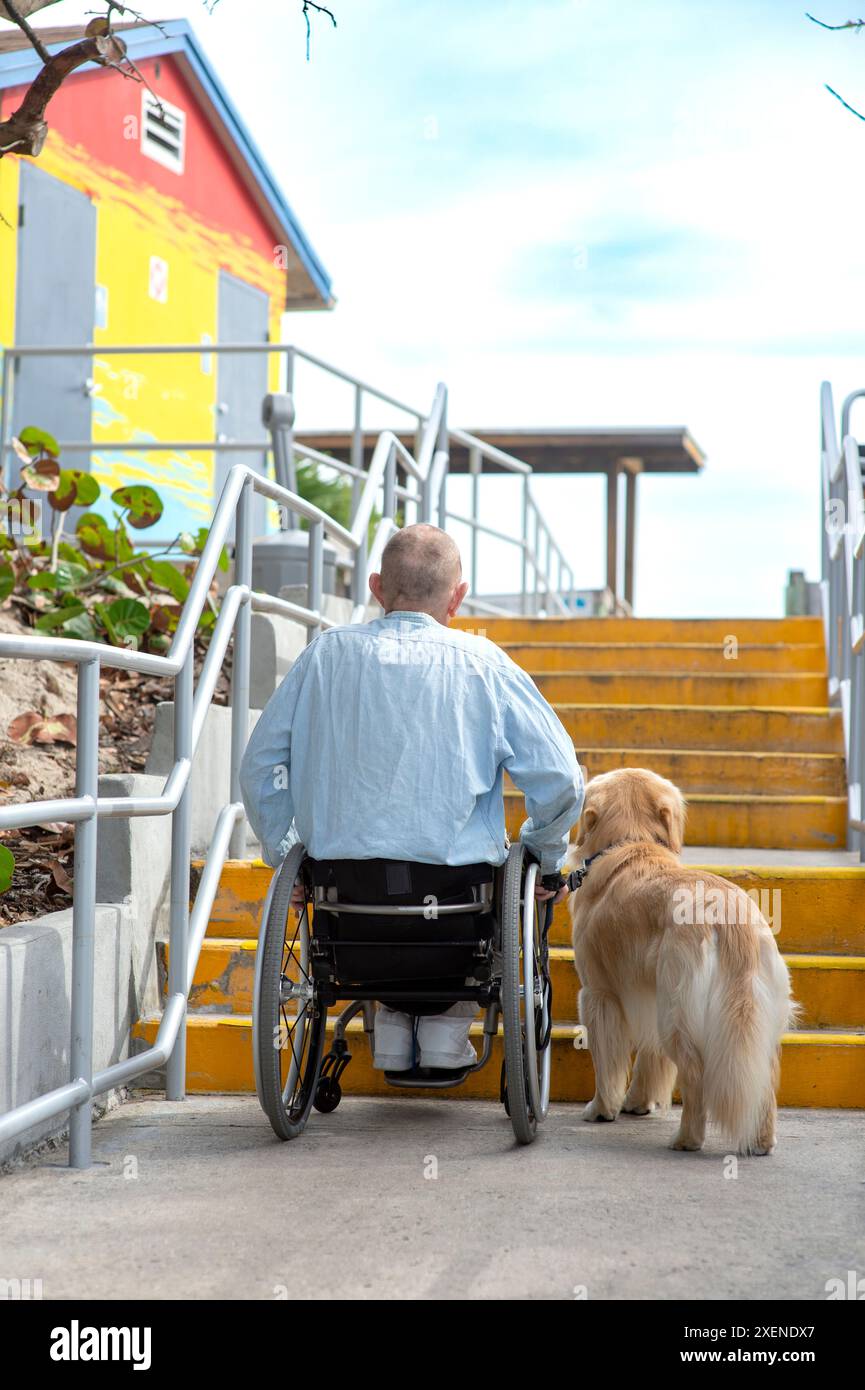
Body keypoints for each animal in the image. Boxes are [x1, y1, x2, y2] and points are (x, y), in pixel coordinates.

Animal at [570, 772, 801, 1150]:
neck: (631, 843)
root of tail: (729, 914)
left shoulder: (598, 994)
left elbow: (607, 1061)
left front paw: (602, 1108)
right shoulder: (648, 993)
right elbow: (650, 1058)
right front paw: (638, 1102)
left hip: (676, 1011)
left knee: (695, 1075)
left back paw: (687, 1139)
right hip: (753, 1018)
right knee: (764, 1080)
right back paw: (762, 1140)